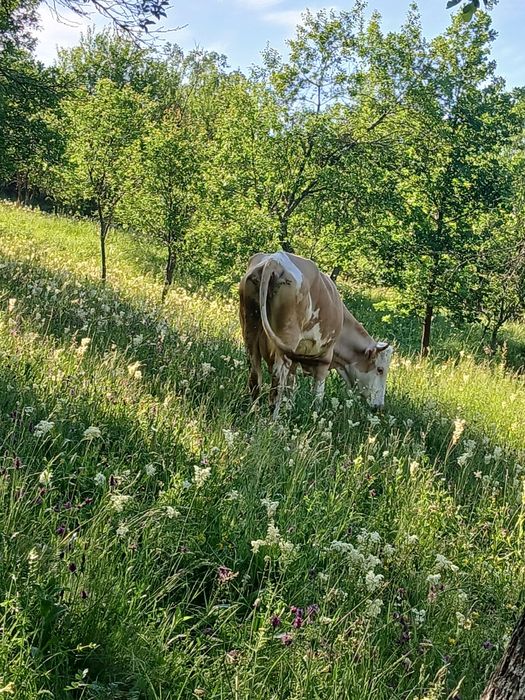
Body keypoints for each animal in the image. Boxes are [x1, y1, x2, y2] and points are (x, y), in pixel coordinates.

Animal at [239, 251, 393, 418]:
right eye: (380, 370)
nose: (379, 406)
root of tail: (275, 260)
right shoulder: (324, 359)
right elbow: (318, 395)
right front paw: (315, 416)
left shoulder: (296, 359)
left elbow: (291, 386)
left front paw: (289, 410)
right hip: (286, 341)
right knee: (277, 380)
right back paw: (272, 420)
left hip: (250, 331)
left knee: (255, 375)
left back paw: (253, 413)